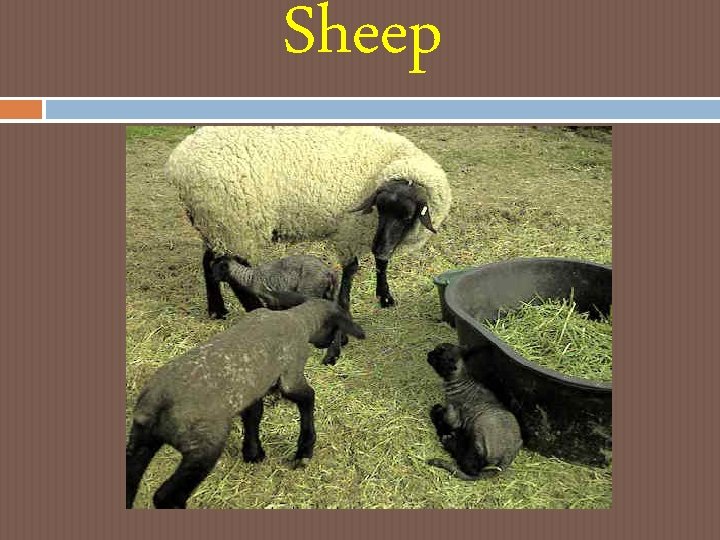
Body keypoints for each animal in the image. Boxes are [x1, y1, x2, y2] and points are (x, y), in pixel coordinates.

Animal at [125, 297, 366, 509]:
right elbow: (308, 397)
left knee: (130, 480)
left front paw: (253, 453)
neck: (299, 320)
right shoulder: (291, 374)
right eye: (337, 330)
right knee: (166, 496)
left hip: (141, 440)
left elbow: (254, 415)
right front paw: (304, 451)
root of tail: (159, 402)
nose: (332, 349)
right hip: (203, 447)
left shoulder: (253, 389)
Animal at [164, 126, 452, 322]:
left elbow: (382, 264)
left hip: (213, 223)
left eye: (407, 216)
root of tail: (177, 165)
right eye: (381, 208)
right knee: (230, 268)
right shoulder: (350, 229)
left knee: (210, 263)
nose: (380, 248)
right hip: (235, 223)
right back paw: (254, 308)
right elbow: (351, 269)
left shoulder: (375, 232)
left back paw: (217, 309)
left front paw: (385, 296)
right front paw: (344, 307)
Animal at [426, 343, 523, 481]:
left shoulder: (453, 414)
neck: (461, 379)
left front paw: (438, 412)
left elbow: (445, 418)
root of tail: (506, 458)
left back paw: (449, 442)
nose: (428, 354)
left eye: (438, 356)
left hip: (479, 429)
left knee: (471, 467)